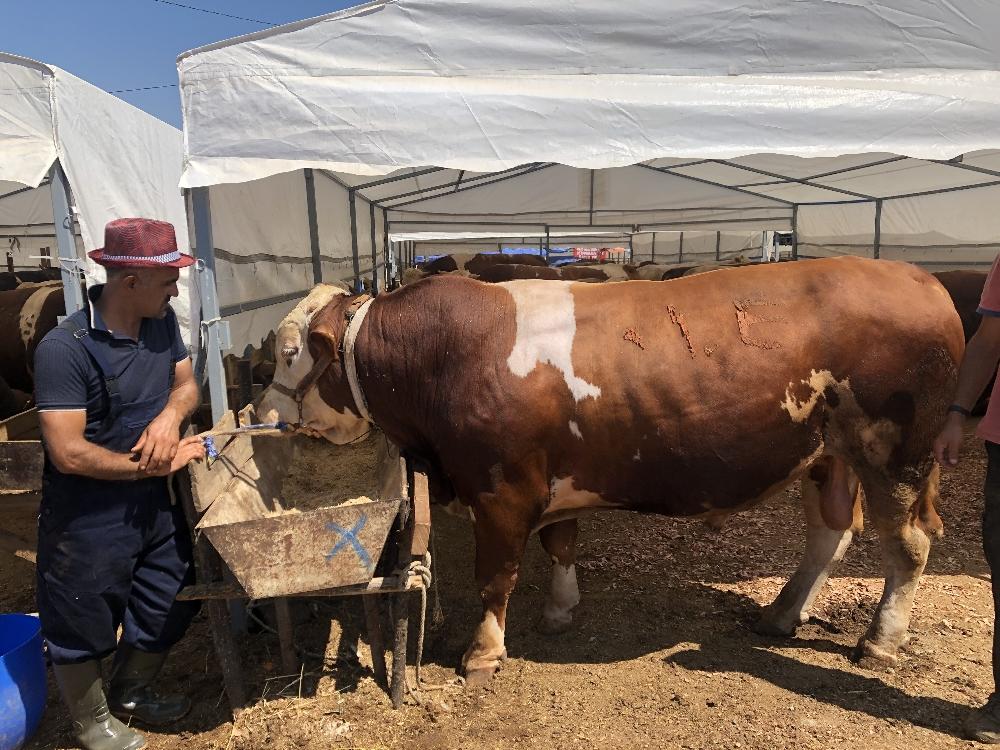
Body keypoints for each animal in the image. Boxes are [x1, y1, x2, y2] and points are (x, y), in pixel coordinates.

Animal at [258, 258, 960, 688]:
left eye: (289, 353)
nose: (263, 412)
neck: (441, 355)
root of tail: (919, 279)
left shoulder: (501, 488)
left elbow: (495, 575)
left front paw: (483, 653)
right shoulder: (548, 483)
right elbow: (560, 542)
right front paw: (561, 608)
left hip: (895, 454)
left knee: (906, 547)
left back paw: (881, 638)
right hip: (827, 455)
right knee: (829, 534)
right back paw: (783, 612)